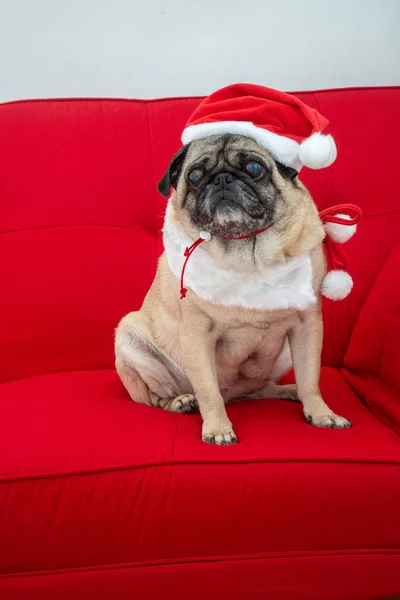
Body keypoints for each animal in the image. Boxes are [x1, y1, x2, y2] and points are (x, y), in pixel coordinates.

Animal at [115, 136, 350, 446]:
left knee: (262, 388)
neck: (247, 252)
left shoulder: (307, 325)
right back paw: (180, 401)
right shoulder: (197, 333)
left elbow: (311, 377)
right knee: (156, 398)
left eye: (254, 168)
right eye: (194, 176)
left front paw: (322, 414)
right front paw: (217, 428)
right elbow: (207, 389)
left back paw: (289, 390)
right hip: (129, 337)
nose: (222, 179)